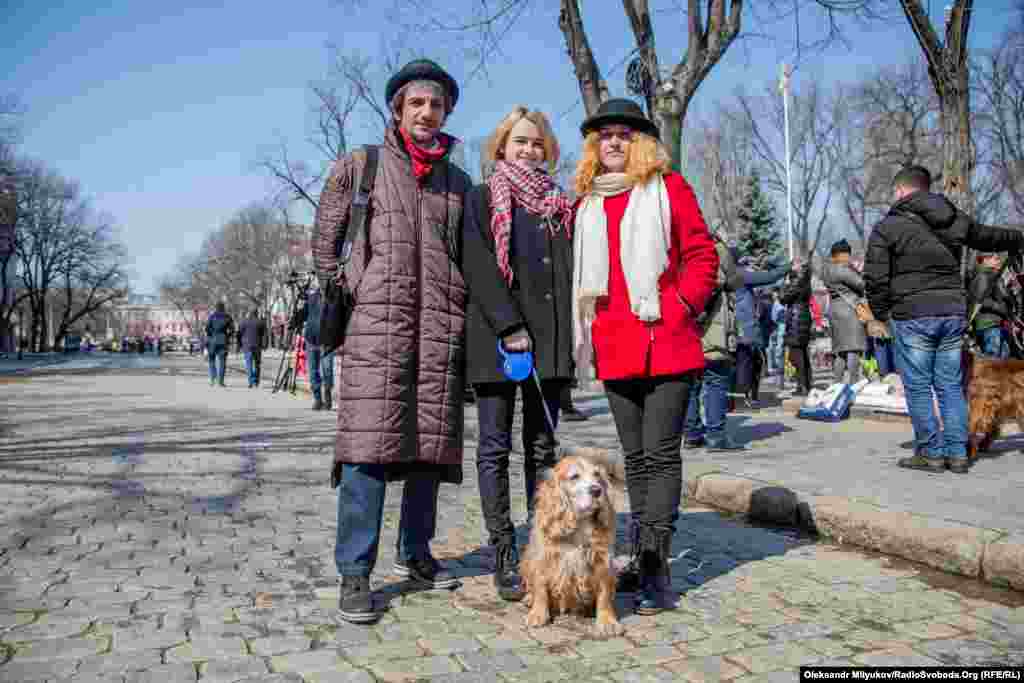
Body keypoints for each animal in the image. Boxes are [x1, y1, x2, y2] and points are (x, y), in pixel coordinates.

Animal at [524, 446, 626, 638]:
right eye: (574, 477)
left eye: (597, 475)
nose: (597, 490)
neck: (579, 524)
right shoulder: (544, 554)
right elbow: (540, 586)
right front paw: (538, 614)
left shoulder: (602, 558)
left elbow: (604, 592)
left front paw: (607, 621)